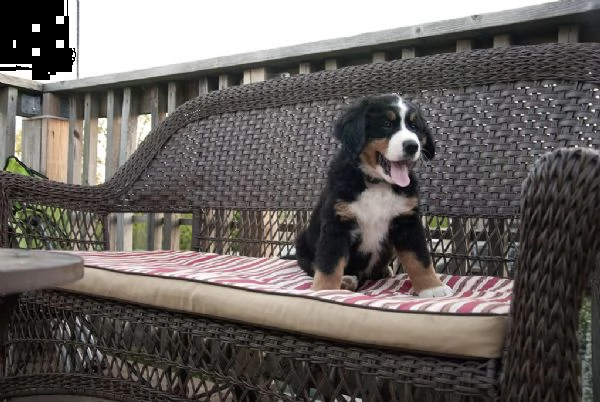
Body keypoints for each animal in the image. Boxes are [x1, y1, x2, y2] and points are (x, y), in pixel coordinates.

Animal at [292, 92, 452, 296]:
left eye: (414, 127)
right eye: (386, 124)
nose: (412, 146)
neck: (378, 184)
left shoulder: (407, 221)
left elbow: (420, 260)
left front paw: (433, 288)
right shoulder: (337, 224)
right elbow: (328, 264)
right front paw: (324, 291)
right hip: (303, 242)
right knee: (313, 265)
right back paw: (346, 281)